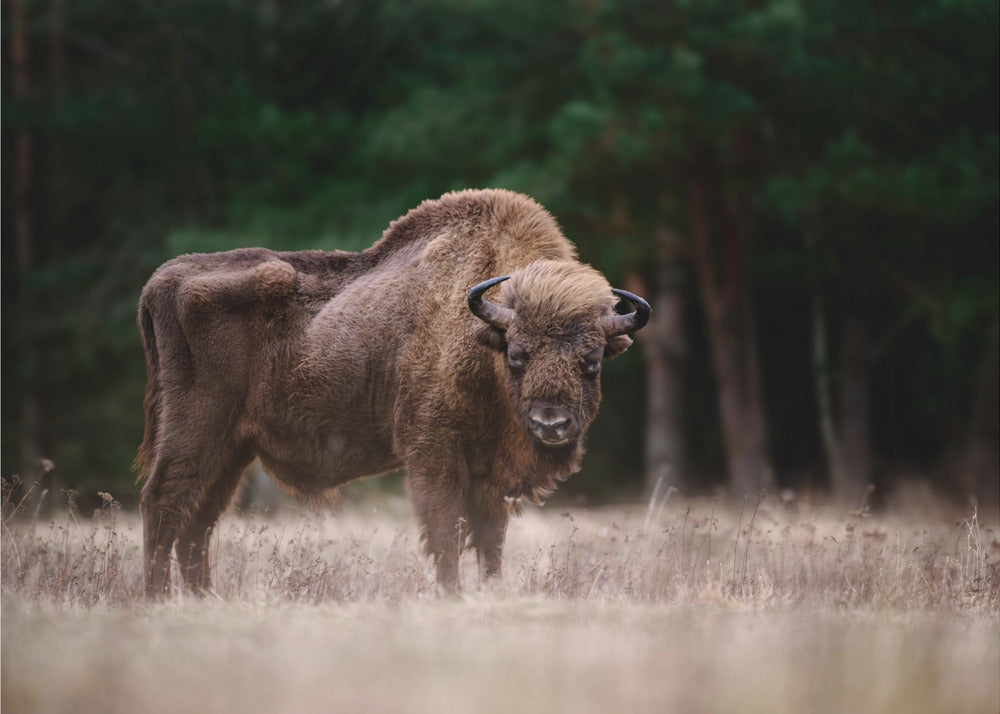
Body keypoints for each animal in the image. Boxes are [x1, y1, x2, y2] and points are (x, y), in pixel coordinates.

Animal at [135, 189, 649, 595]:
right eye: (518, 354)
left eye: (592, 361)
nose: (551, 424)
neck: (482, 336)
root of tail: (163, 279)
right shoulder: (434, 455)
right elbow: (445, 535)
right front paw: (451, 595)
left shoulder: (490, 477)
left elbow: (490, 544)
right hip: (195, 429)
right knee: (163, 503)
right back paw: (156, 598)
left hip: (232, 449)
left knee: (198, 522)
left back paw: (204, 597)